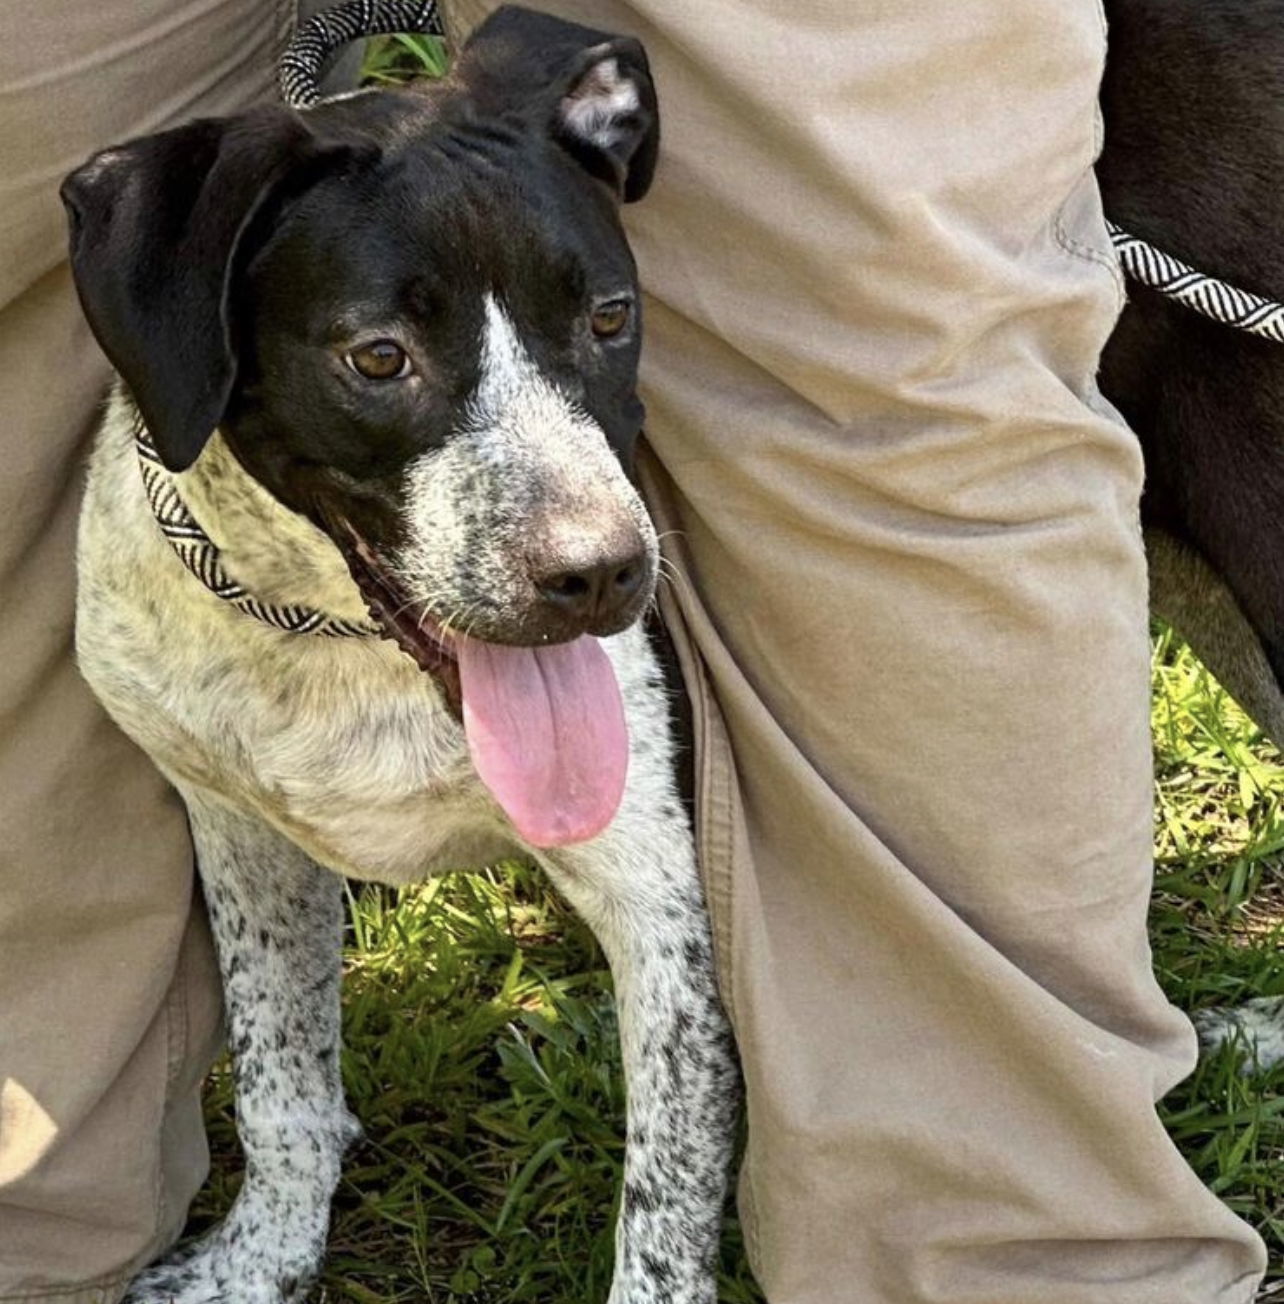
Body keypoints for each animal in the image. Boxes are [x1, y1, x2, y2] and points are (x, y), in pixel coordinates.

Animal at [65, 10, 735, 1304]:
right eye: (379, 358)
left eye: (609, 317)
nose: (603, 574)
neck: (324, 636)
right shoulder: (241, 832)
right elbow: (281, 1082)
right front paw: (262, 1260)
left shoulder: (661, 903)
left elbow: (670, 1187)